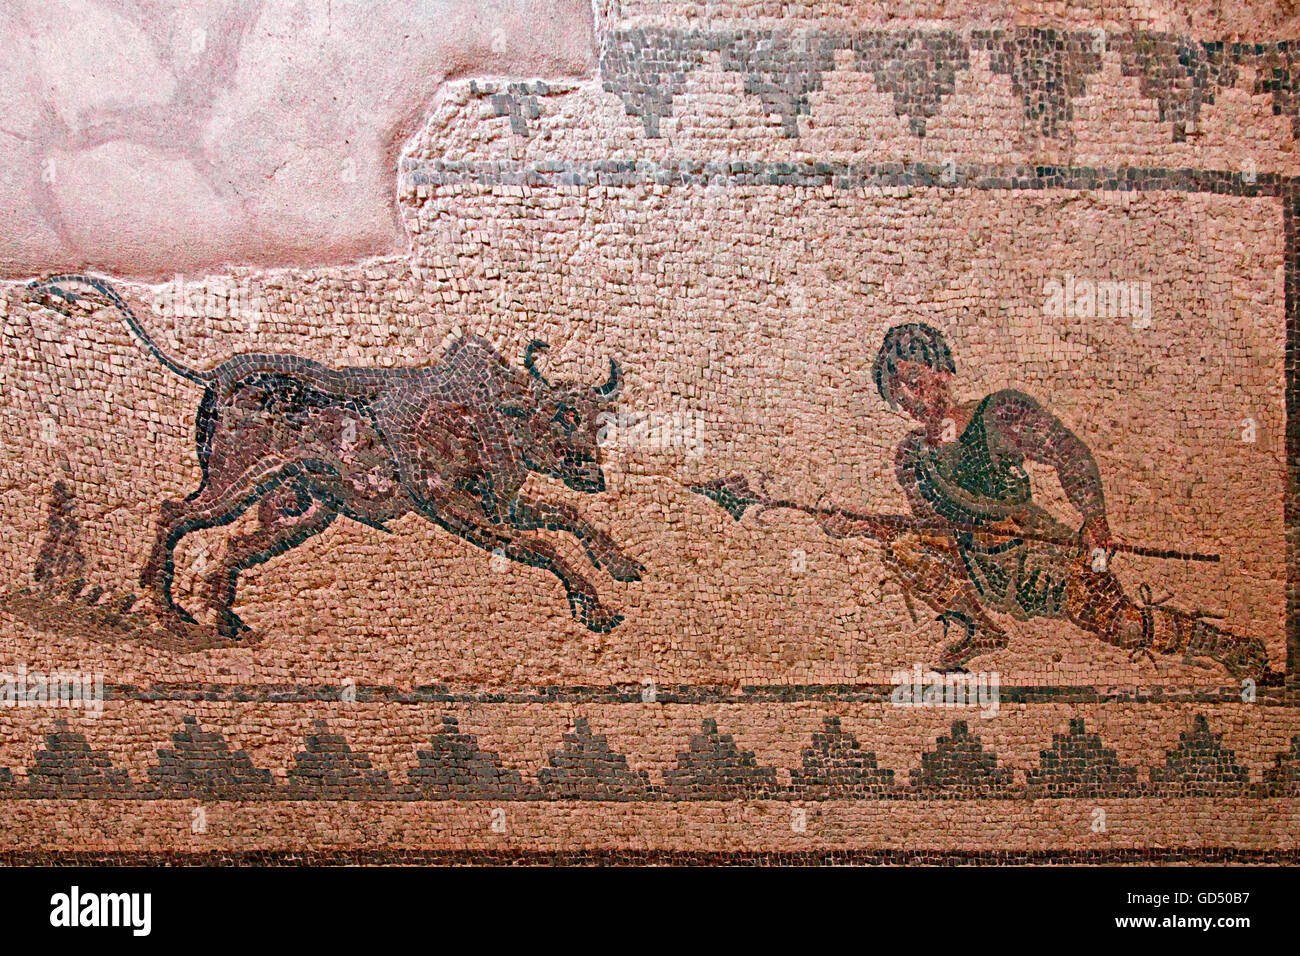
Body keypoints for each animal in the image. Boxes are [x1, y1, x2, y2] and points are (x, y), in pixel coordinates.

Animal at [25, 274, 644, 634]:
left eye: (601, 423)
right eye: (561, 415)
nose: (594, 475)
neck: (488, 413)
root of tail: (215, 374)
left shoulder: (500, 505)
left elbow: (567, 517)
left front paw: (621, 563)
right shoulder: (454, 509)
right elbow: (543, 545)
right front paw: (594, 607)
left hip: (302, 507)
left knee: (234, 545)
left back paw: (225, 619)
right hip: (236, 482)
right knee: (174, 513)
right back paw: (168, 611)